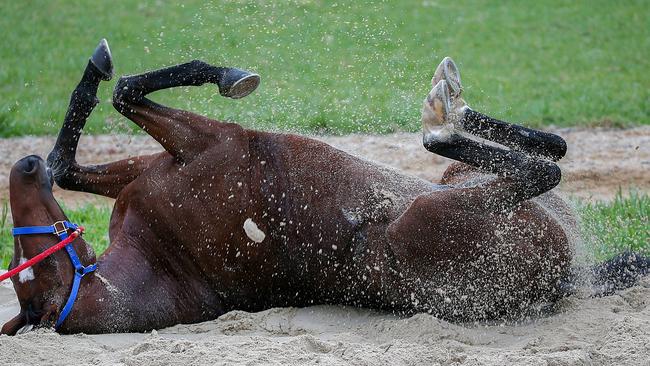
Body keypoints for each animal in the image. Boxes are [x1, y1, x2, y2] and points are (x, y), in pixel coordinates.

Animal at [0, 40, 576, 334]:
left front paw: (96, 66)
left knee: (553, 151)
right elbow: (123, 94)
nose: (22, 167)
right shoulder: (212, 141)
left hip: (456, 183)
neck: (169, 254)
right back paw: (440, 113)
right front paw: (231, 76)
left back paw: (449, 100)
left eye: (27, 250)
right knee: (542, 167)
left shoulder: (158, 166)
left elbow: (72, 158)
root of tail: (560, 276)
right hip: (439, 211)